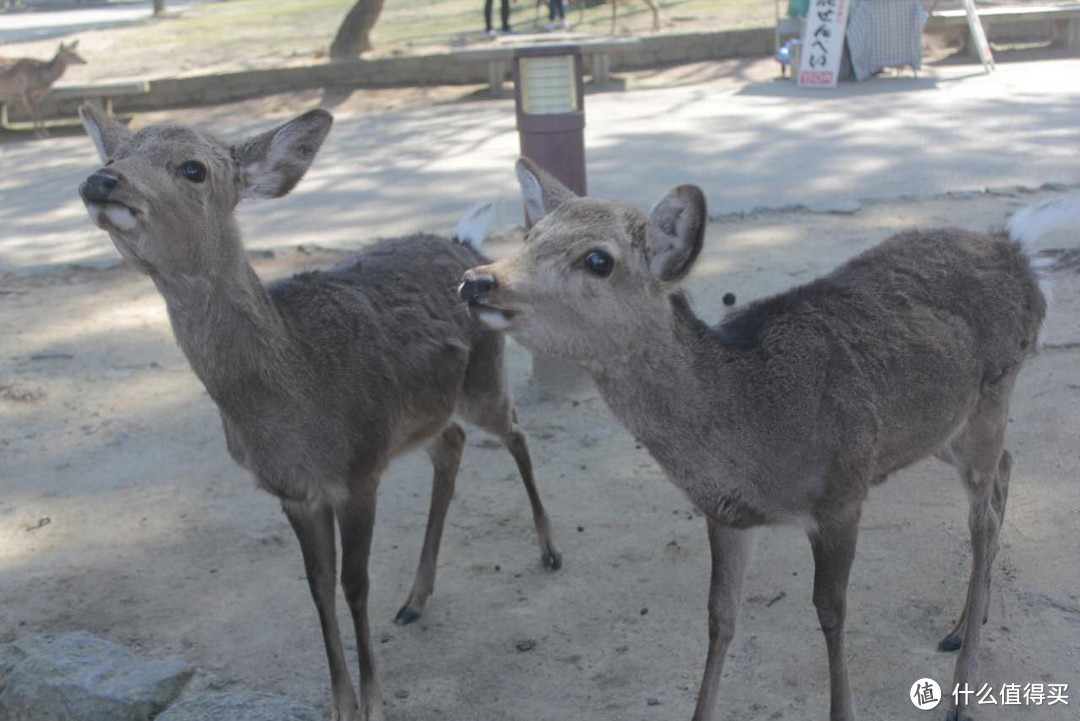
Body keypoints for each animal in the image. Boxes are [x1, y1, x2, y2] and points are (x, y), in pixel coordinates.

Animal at [77, 108, 561, 721]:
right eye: (117, 156)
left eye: (193, 169)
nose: (101, 180)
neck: (297, 403)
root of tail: (463, 243)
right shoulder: (294, 493)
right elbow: (317, 586)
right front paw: (340, 703)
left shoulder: (359, 471)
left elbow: (354, 583)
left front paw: (374, 702)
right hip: (424, 412)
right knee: (451, 445)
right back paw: (416, 598)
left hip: (483, 380)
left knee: (515, 431)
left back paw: (550, 551)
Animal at [453, 156, 1071, 721]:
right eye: (530, 236)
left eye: (598, 260)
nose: (478, 280)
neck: (751, 429)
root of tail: (1021, 255)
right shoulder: (725, 513)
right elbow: (720, 617)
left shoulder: (842, 491)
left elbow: (830, 611)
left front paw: (843, 711)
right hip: (940, 427)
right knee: (1007, 469)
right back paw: (964, 624)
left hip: (994, 389)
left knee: (982, 518)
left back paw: (963, 691)